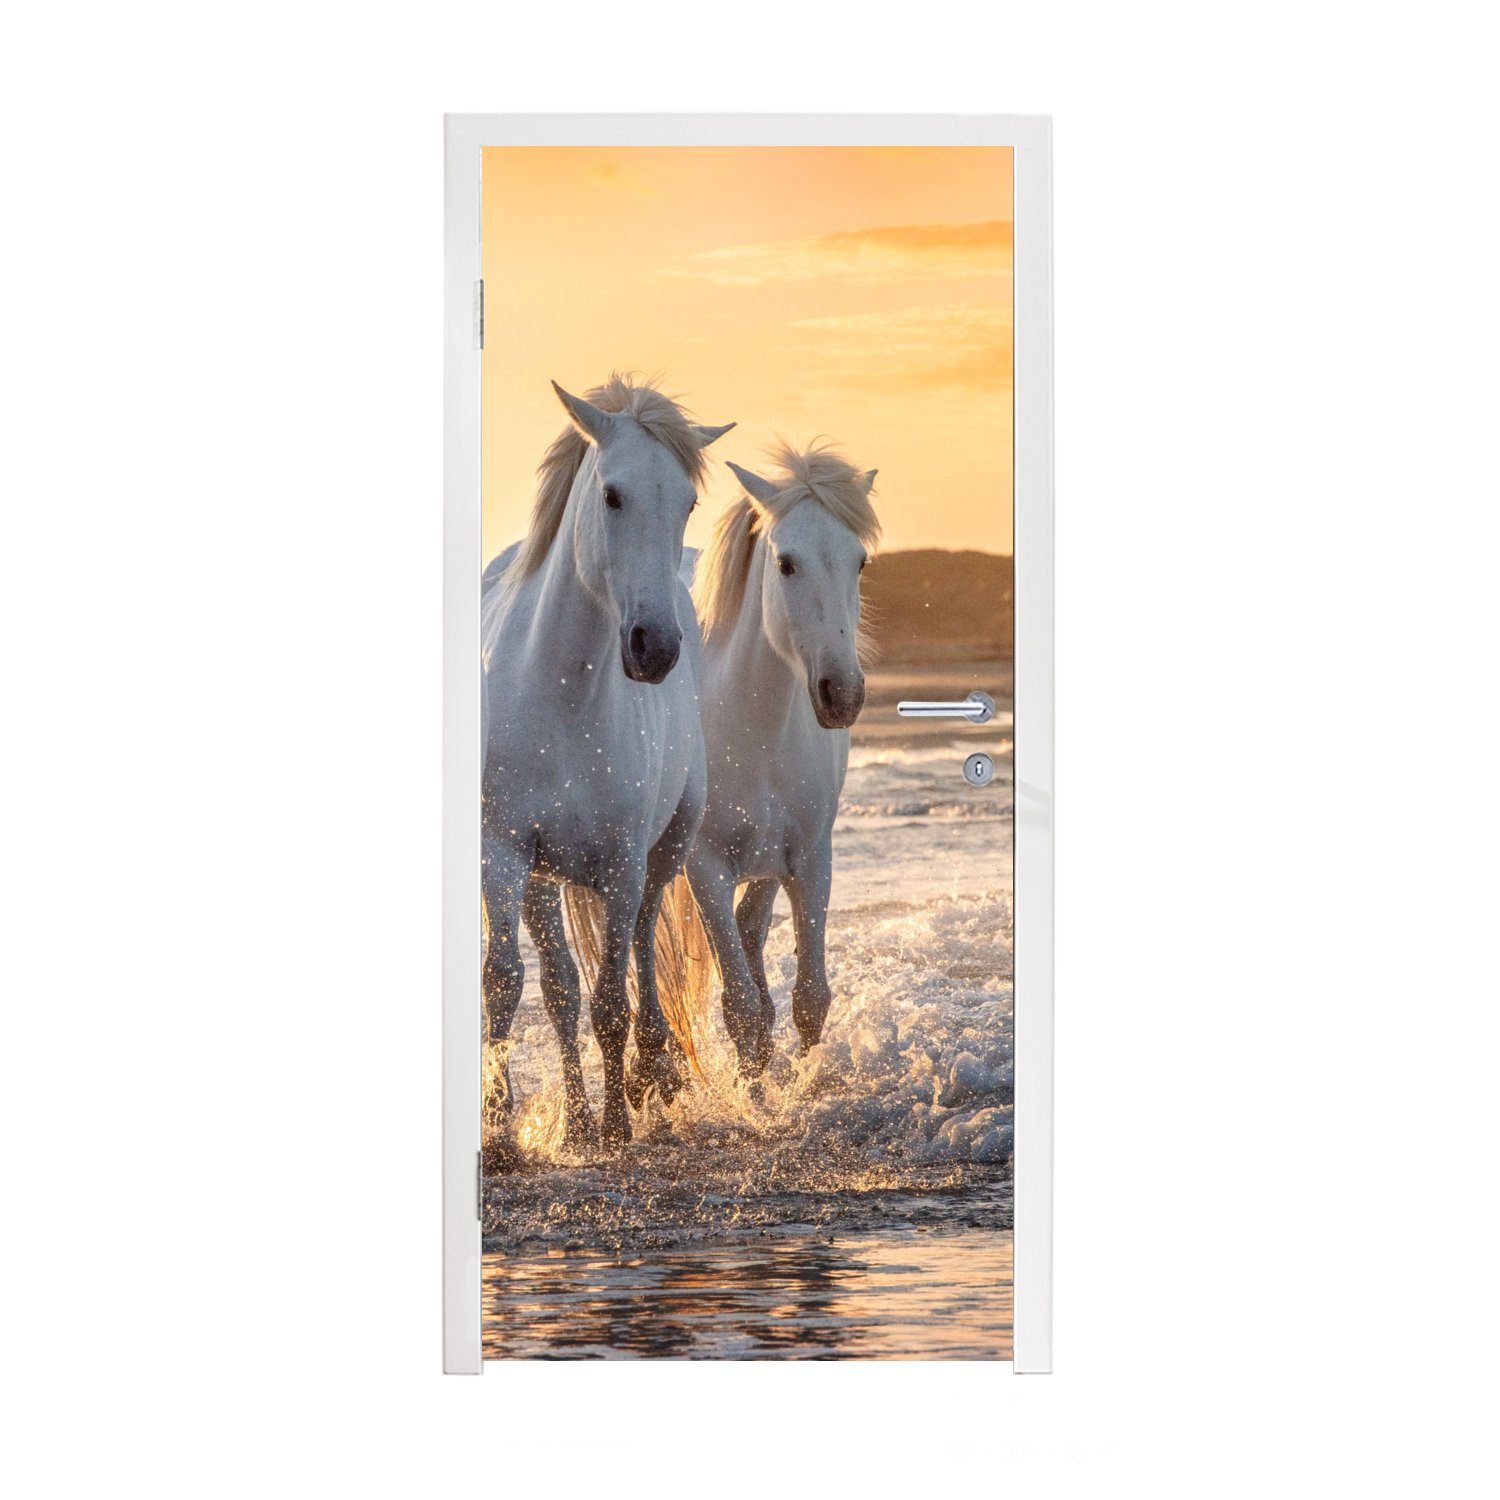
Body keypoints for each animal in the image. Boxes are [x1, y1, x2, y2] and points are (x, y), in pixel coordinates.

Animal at [480, 375, 734, 1148]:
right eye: (613, 494)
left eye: (686, 502)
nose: (656, 647)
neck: (560, 693)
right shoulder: (503, 853)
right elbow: (507, 984)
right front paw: (500, 1133)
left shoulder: (620, 865)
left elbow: (612, 1000)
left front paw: (621, 1123)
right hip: (541, 878)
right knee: (560, 987)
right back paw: (577, 1120)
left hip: (664, 849)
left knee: (643, 954)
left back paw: (648, 1077)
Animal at [676, 442, 880, 1074]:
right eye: (786, 564)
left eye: (859, 562)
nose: (842, 695)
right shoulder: (705, 869)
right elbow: (741, 1010)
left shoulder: (810, 858)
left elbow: (810, 999)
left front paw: (802, 1084)